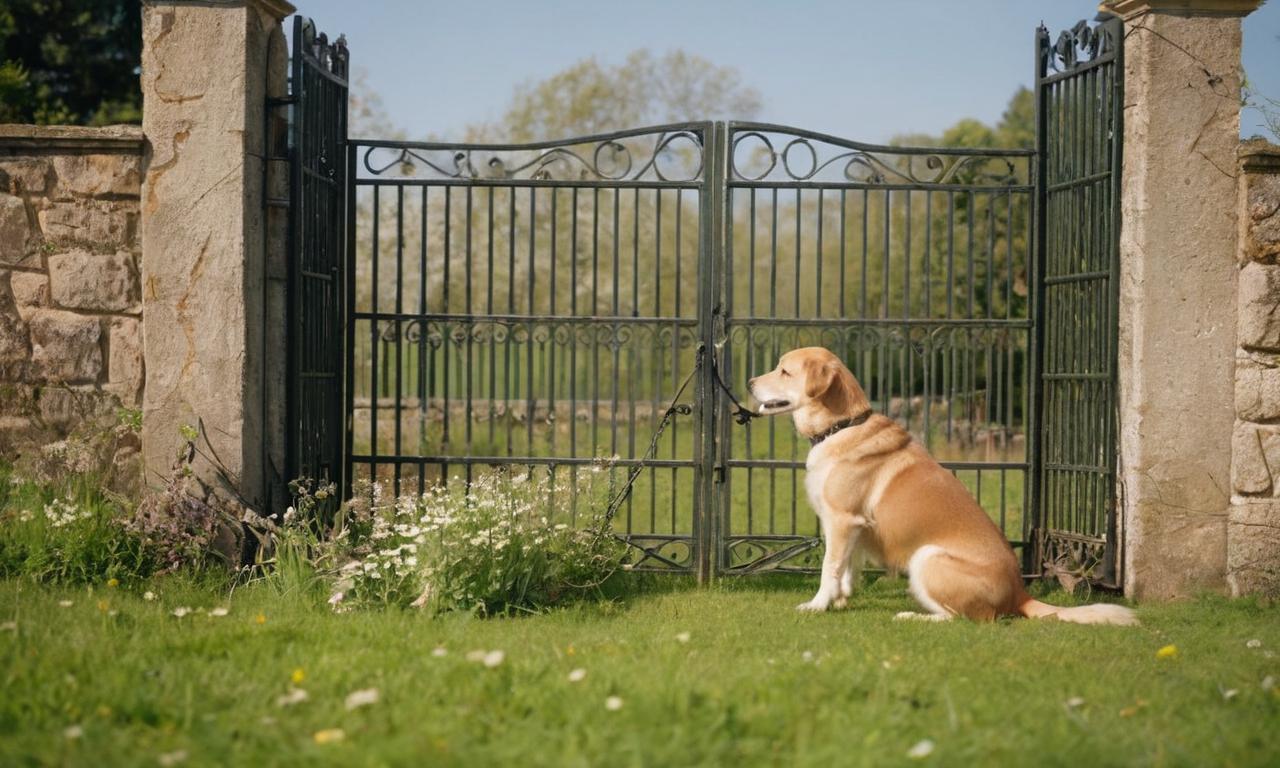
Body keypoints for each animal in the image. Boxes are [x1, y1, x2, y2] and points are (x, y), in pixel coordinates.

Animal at [747, 348, 1136, 624]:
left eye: (784, 370)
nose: (749, 381)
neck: (841, 426)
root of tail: (1019, 594)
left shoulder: (842, 521)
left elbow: (830, 569)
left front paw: (817, 605)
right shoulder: (854, 527)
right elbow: (847, 568)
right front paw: (840, 600)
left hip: (926, 557)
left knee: (967, 619)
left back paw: (912, 616)